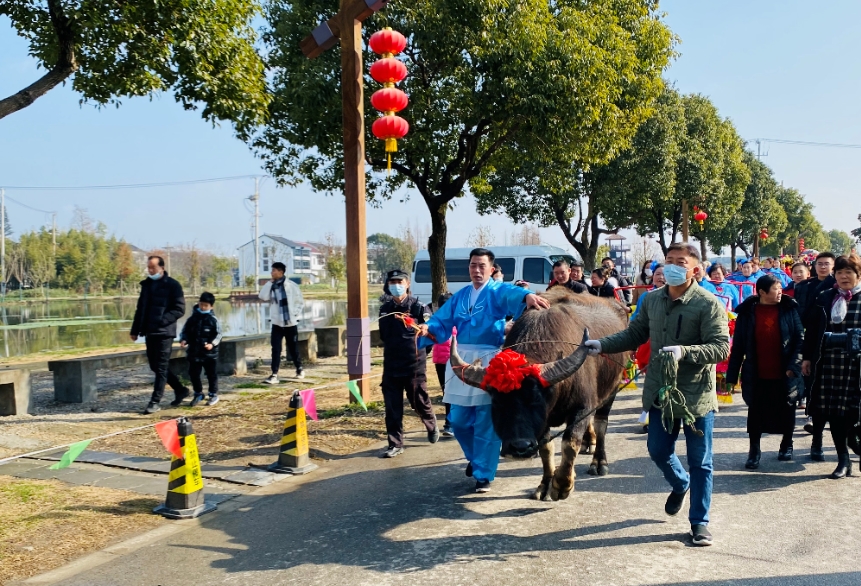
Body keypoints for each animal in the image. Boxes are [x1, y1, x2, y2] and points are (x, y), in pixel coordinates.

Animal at [450, 288, 624, 498]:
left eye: (536, 398)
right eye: (498, 400)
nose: (520, 448)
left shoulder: (582, 406)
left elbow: (569, 442)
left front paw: (562, 485)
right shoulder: (543, 423)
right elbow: (546, 448)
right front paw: (546, 484)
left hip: (612, 389)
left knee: (600, 424)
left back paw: (599, 462)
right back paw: (588, 442)